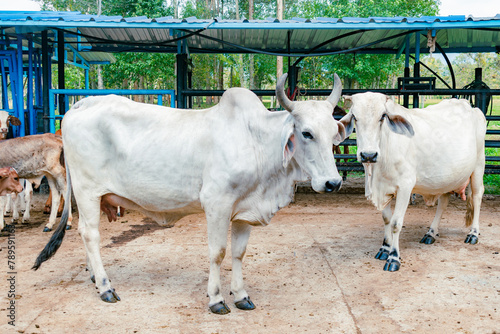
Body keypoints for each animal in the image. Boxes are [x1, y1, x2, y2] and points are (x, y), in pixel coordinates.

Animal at [33, 74, 348, 314]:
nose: (332, 182)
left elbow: (239, 253)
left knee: (87, 236)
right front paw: (217, 299)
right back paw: (105, 286)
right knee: (90, 234)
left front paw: (241, 295)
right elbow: (218, 252)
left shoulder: (244, 210)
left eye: (334, 133)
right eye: (306, 133)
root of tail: (80, 104)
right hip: (87, 191)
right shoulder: (217, 204)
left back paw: (94, 278)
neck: (255, 141)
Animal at [338, 92, 486, 272]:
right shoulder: (382, 188)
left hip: (478, 166)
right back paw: (431, 233)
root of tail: (470, 106)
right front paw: (384, 248)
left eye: (383, 116)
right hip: (447, 178)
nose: (368, 155)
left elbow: (396, 223)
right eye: (354, 116)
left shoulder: (405, 187)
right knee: (443, 202)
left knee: (477, 197)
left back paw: (473, 233)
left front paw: (394, 257)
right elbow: (386, 219)